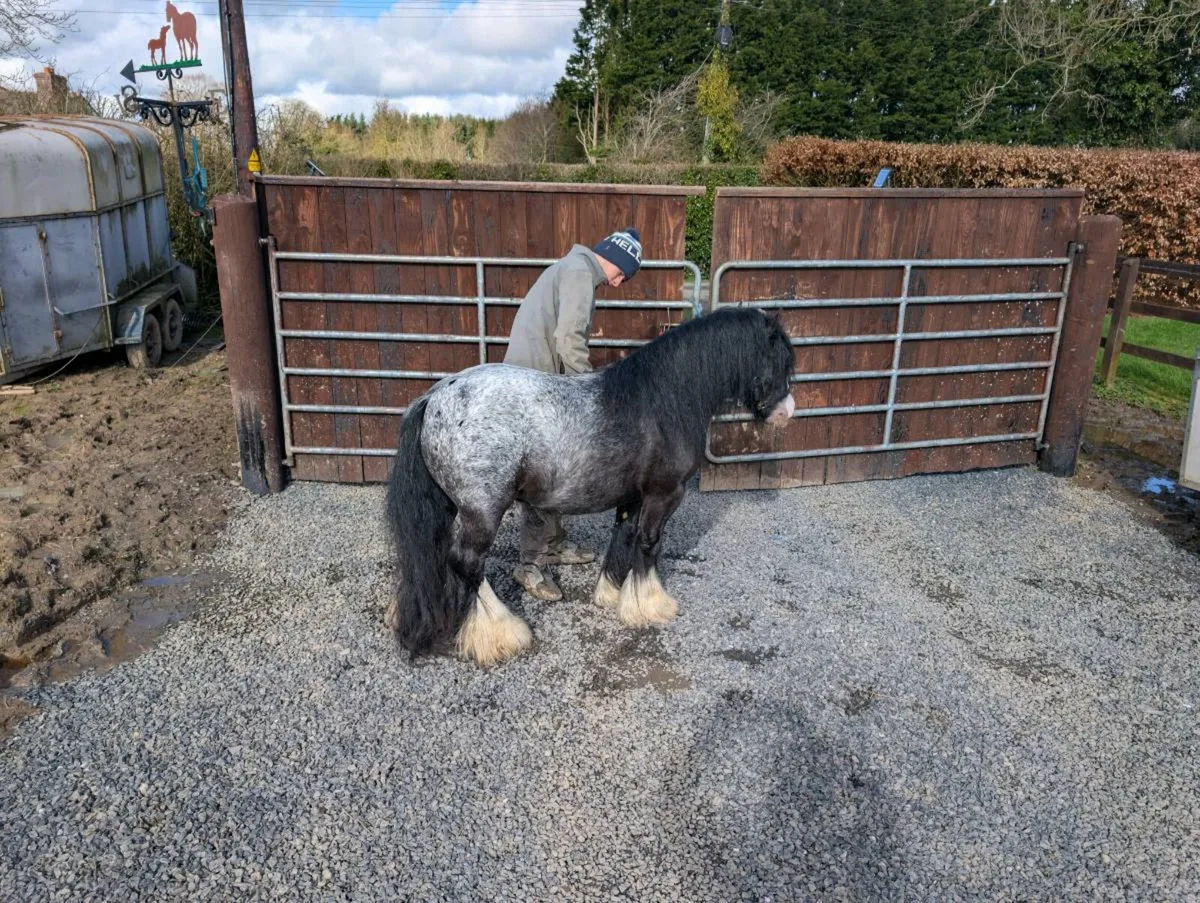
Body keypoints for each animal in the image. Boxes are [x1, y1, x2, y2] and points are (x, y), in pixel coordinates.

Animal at [383, 305, 796, 667]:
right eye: (777, 359)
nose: (787, 412)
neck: (662, 401)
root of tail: (434, 397)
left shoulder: (633, 497)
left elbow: (624, 538)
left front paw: (612, 594)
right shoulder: (664, 494)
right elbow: (649, 544)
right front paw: (651, 604)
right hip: (482, 511)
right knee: (466, 561)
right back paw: (502, 632)